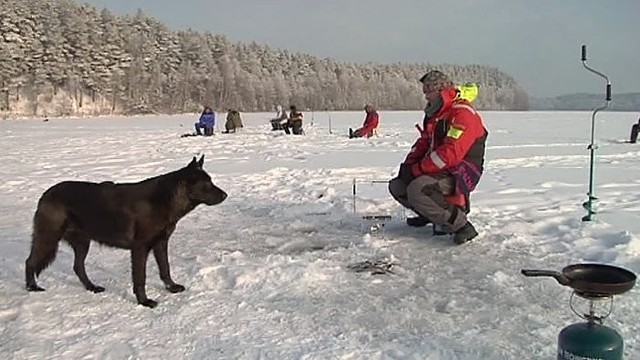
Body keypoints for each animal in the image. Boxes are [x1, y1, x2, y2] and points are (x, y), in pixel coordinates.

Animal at [26, 156, 229, 308]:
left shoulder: (160, 244)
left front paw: (171, 288)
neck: (165, 200)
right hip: (48, 238)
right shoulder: (140, 248)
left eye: (211, 181)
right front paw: (144, 301)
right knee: (30, 262)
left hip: (82, 242)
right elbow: (140, 277)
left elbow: (165, 269)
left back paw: (92, 287)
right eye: (207, 184)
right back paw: (31, 287)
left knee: (78, 266)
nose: (225, 195)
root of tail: (45, 194)